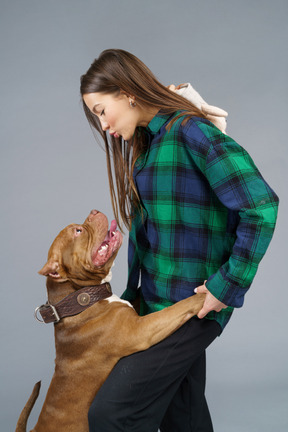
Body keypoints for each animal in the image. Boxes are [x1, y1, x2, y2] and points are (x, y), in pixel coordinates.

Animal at [15, 208, 206, 430]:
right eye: (78, 231)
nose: (94, 211)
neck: (80, 298)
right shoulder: (141, 330)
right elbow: (175, 309)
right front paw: (206, 296)